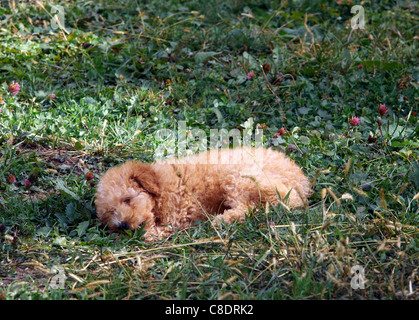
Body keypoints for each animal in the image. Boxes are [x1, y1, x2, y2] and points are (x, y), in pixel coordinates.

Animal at [94, 147, 312, 240]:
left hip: (239, 178)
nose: (122, 225)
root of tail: (301, 180)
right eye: (110, 213)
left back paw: (223, 220)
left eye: (127, 199)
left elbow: (155, 231)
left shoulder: (178, 213)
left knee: (256, 206)